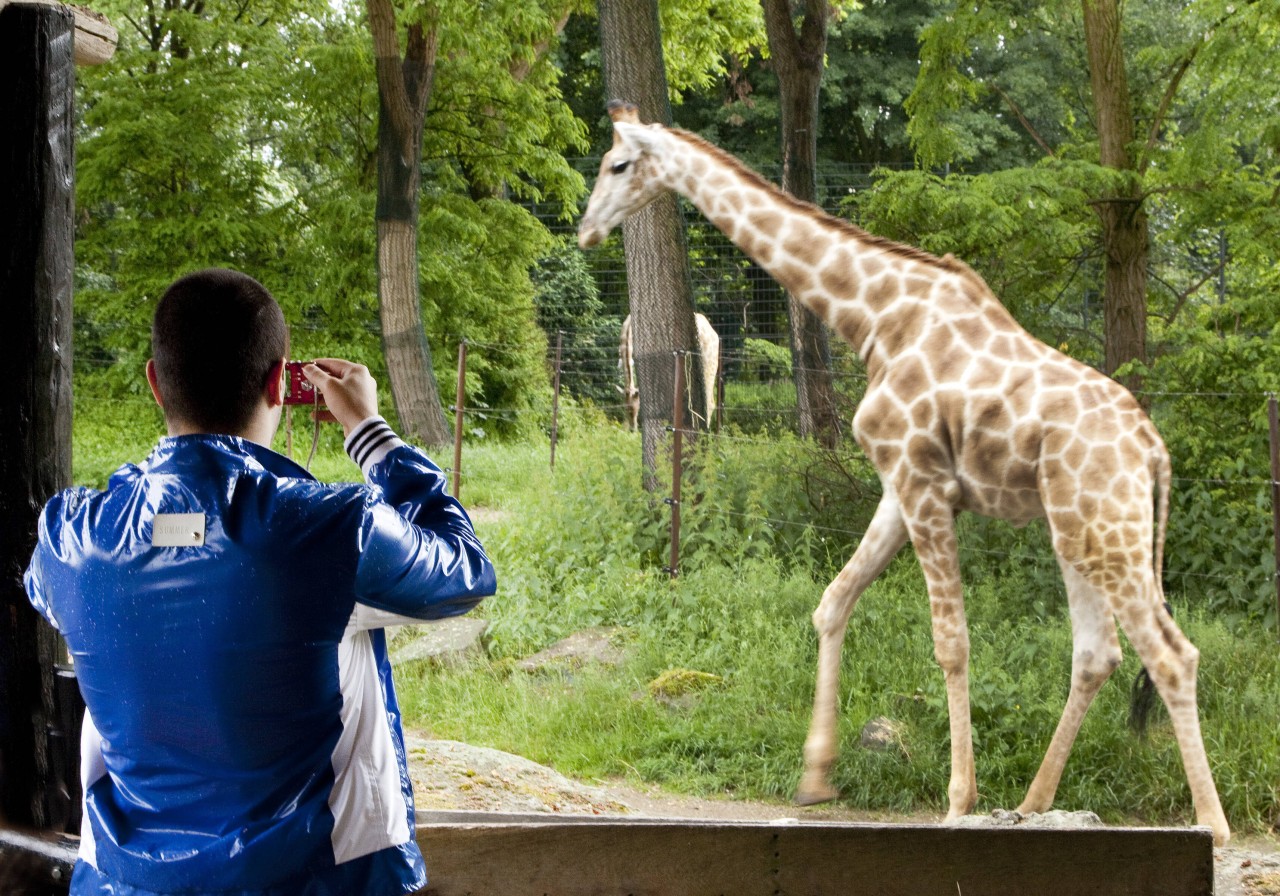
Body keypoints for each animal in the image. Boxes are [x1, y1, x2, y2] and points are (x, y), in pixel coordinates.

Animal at [578, 101, 1228, 844]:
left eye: (617, 165)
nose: (585, 230)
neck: (871, 316)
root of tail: (1153, 449)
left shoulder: (925, 483)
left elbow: (951, 643)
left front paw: (958, 800)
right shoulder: (897, 486)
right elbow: (833, 601)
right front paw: (816, 778)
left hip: (1107, 531)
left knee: (1172, 655)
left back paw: (1212, 825)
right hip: (1077, 529)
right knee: (1099, 654)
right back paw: (1033, 804)